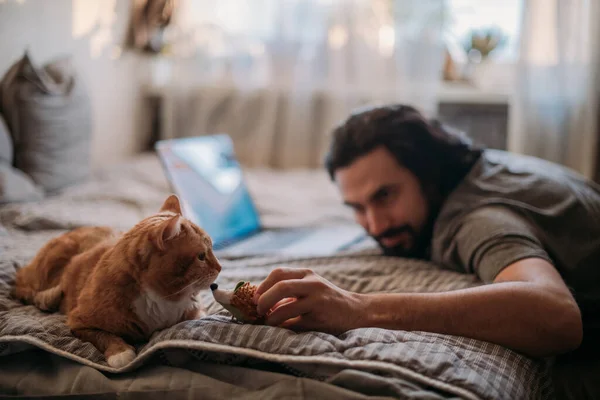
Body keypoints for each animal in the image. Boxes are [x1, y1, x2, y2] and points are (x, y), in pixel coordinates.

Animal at [11, 195, 221, 368]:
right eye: (201, 256)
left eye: (211, 249)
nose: (219, 268)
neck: (160, 298)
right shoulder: (78, 322)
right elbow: (104, 335)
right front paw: (121, 352)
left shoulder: (197, 312)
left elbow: (180, 331)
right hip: (49, 264)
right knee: (23, 289)